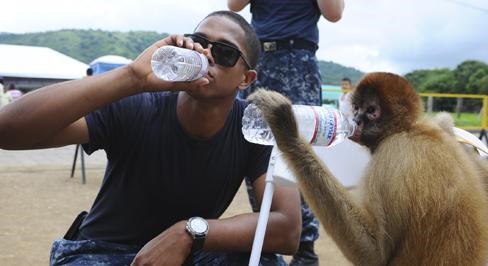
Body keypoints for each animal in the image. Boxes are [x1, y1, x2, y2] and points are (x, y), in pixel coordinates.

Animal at [250, 71, 488, 264]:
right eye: (357, 107)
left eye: (371, 111)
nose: (355, 118)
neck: (406, 130)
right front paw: (446, 124)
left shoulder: (392, 154)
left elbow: (374, 255)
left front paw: (286, 128)